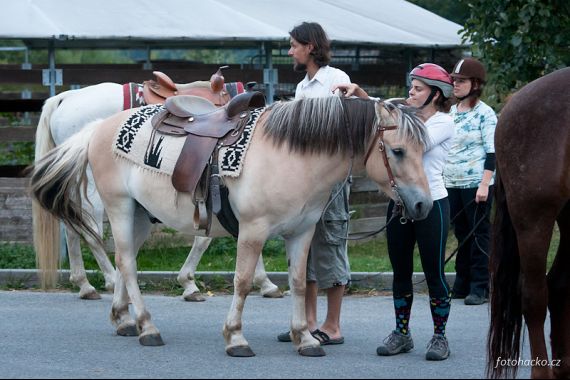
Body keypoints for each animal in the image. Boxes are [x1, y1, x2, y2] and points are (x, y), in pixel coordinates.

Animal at [30, 95, 430, 356]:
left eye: (423, 150)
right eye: (397, 151)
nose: (423, 204)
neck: (291, 156)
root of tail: (99, 127)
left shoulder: (301, 233)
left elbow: (300, 283)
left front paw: (304, 337)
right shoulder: (253, 230)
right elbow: (242, 281)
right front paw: (236, 337)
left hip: (141, 216)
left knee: (123, 262)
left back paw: (124, 319)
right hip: (119, 208)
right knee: (123, 261)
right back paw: (146, 326)